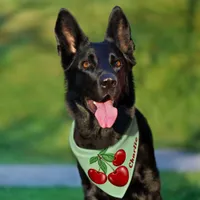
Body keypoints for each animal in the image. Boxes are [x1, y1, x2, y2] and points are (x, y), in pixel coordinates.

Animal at [54, 6, 162, 200]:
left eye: (117, 63)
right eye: (86, 64)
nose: (109, 82)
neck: (104, 136)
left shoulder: (149, 185)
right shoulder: (91, 191)